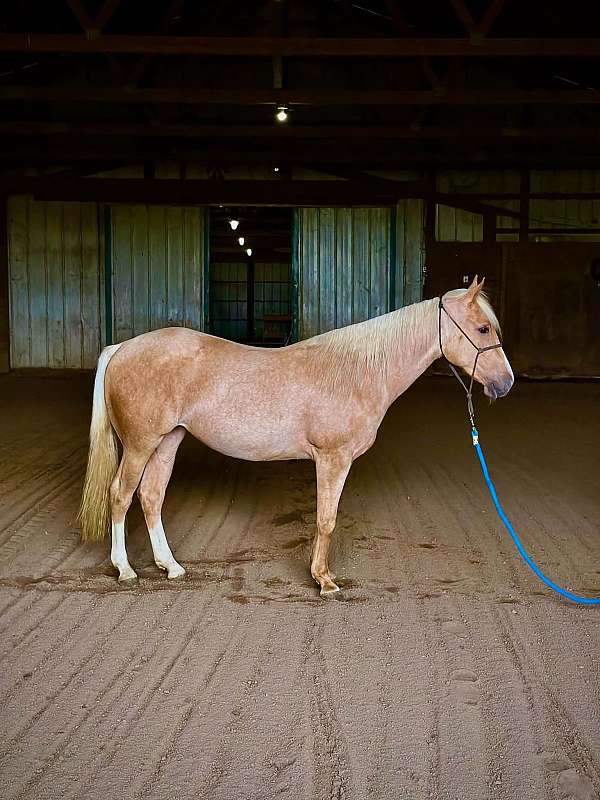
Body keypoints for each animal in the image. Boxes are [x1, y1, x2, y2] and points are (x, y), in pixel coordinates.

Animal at [78, 277, 513, 597]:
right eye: (482, 328)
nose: (506, 383)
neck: (357, 371)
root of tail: (122, 347)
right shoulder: (333, 459)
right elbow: (326, 519)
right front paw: (324, 580)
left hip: (168, 441)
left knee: (151, 496)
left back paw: (171, 567)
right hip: (140, 445)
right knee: (120, 494)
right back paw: (125, 569)